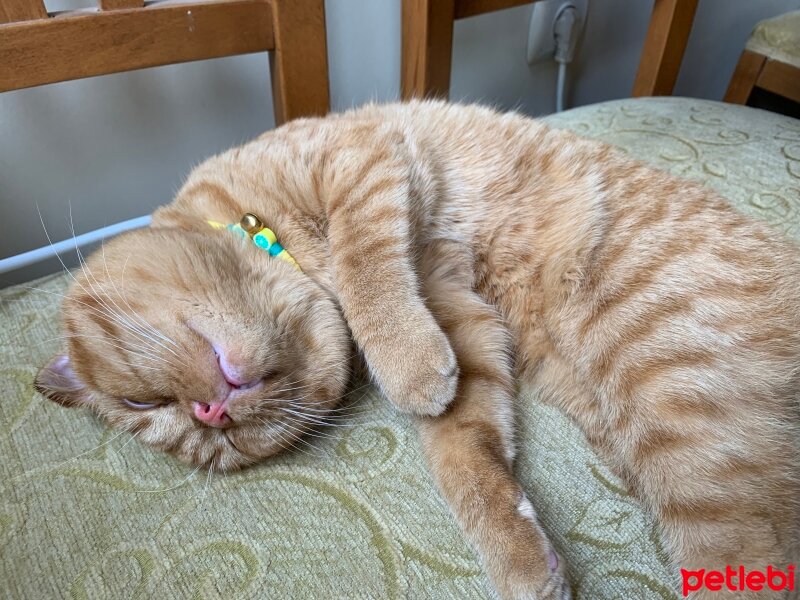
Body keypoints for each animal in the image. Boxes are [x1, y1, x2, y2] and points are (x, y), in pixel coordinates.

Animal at [36, 101, 800, 596]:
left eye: (143, 401)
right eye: (218, 446)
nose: (210, 415)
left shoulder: (363, 161)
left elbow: (369, 269)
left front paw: (402, 358)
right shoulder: (463, 322)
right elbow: (467, 456)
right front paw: (523, 555)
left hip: (687, 433)